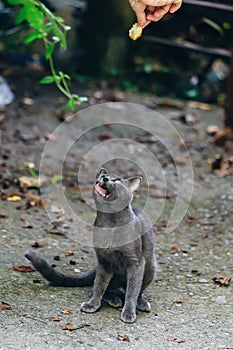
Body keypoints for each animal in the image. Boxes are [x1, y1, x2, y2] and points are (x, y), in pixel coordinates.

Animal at [25, 168, 157, 324]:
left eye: (117, 180)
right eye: (103, 176)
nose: (105, 178)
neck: (110, 223)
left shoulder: (136, 262)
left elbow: (132, 290)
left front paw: (129, 313)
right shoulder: (103, 261)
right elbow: (99, 285)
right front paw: (92, 304)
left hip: (150, 266)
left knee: (138, 290)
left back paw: (141, 303)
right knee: (106, 288)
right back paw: (114, 299)